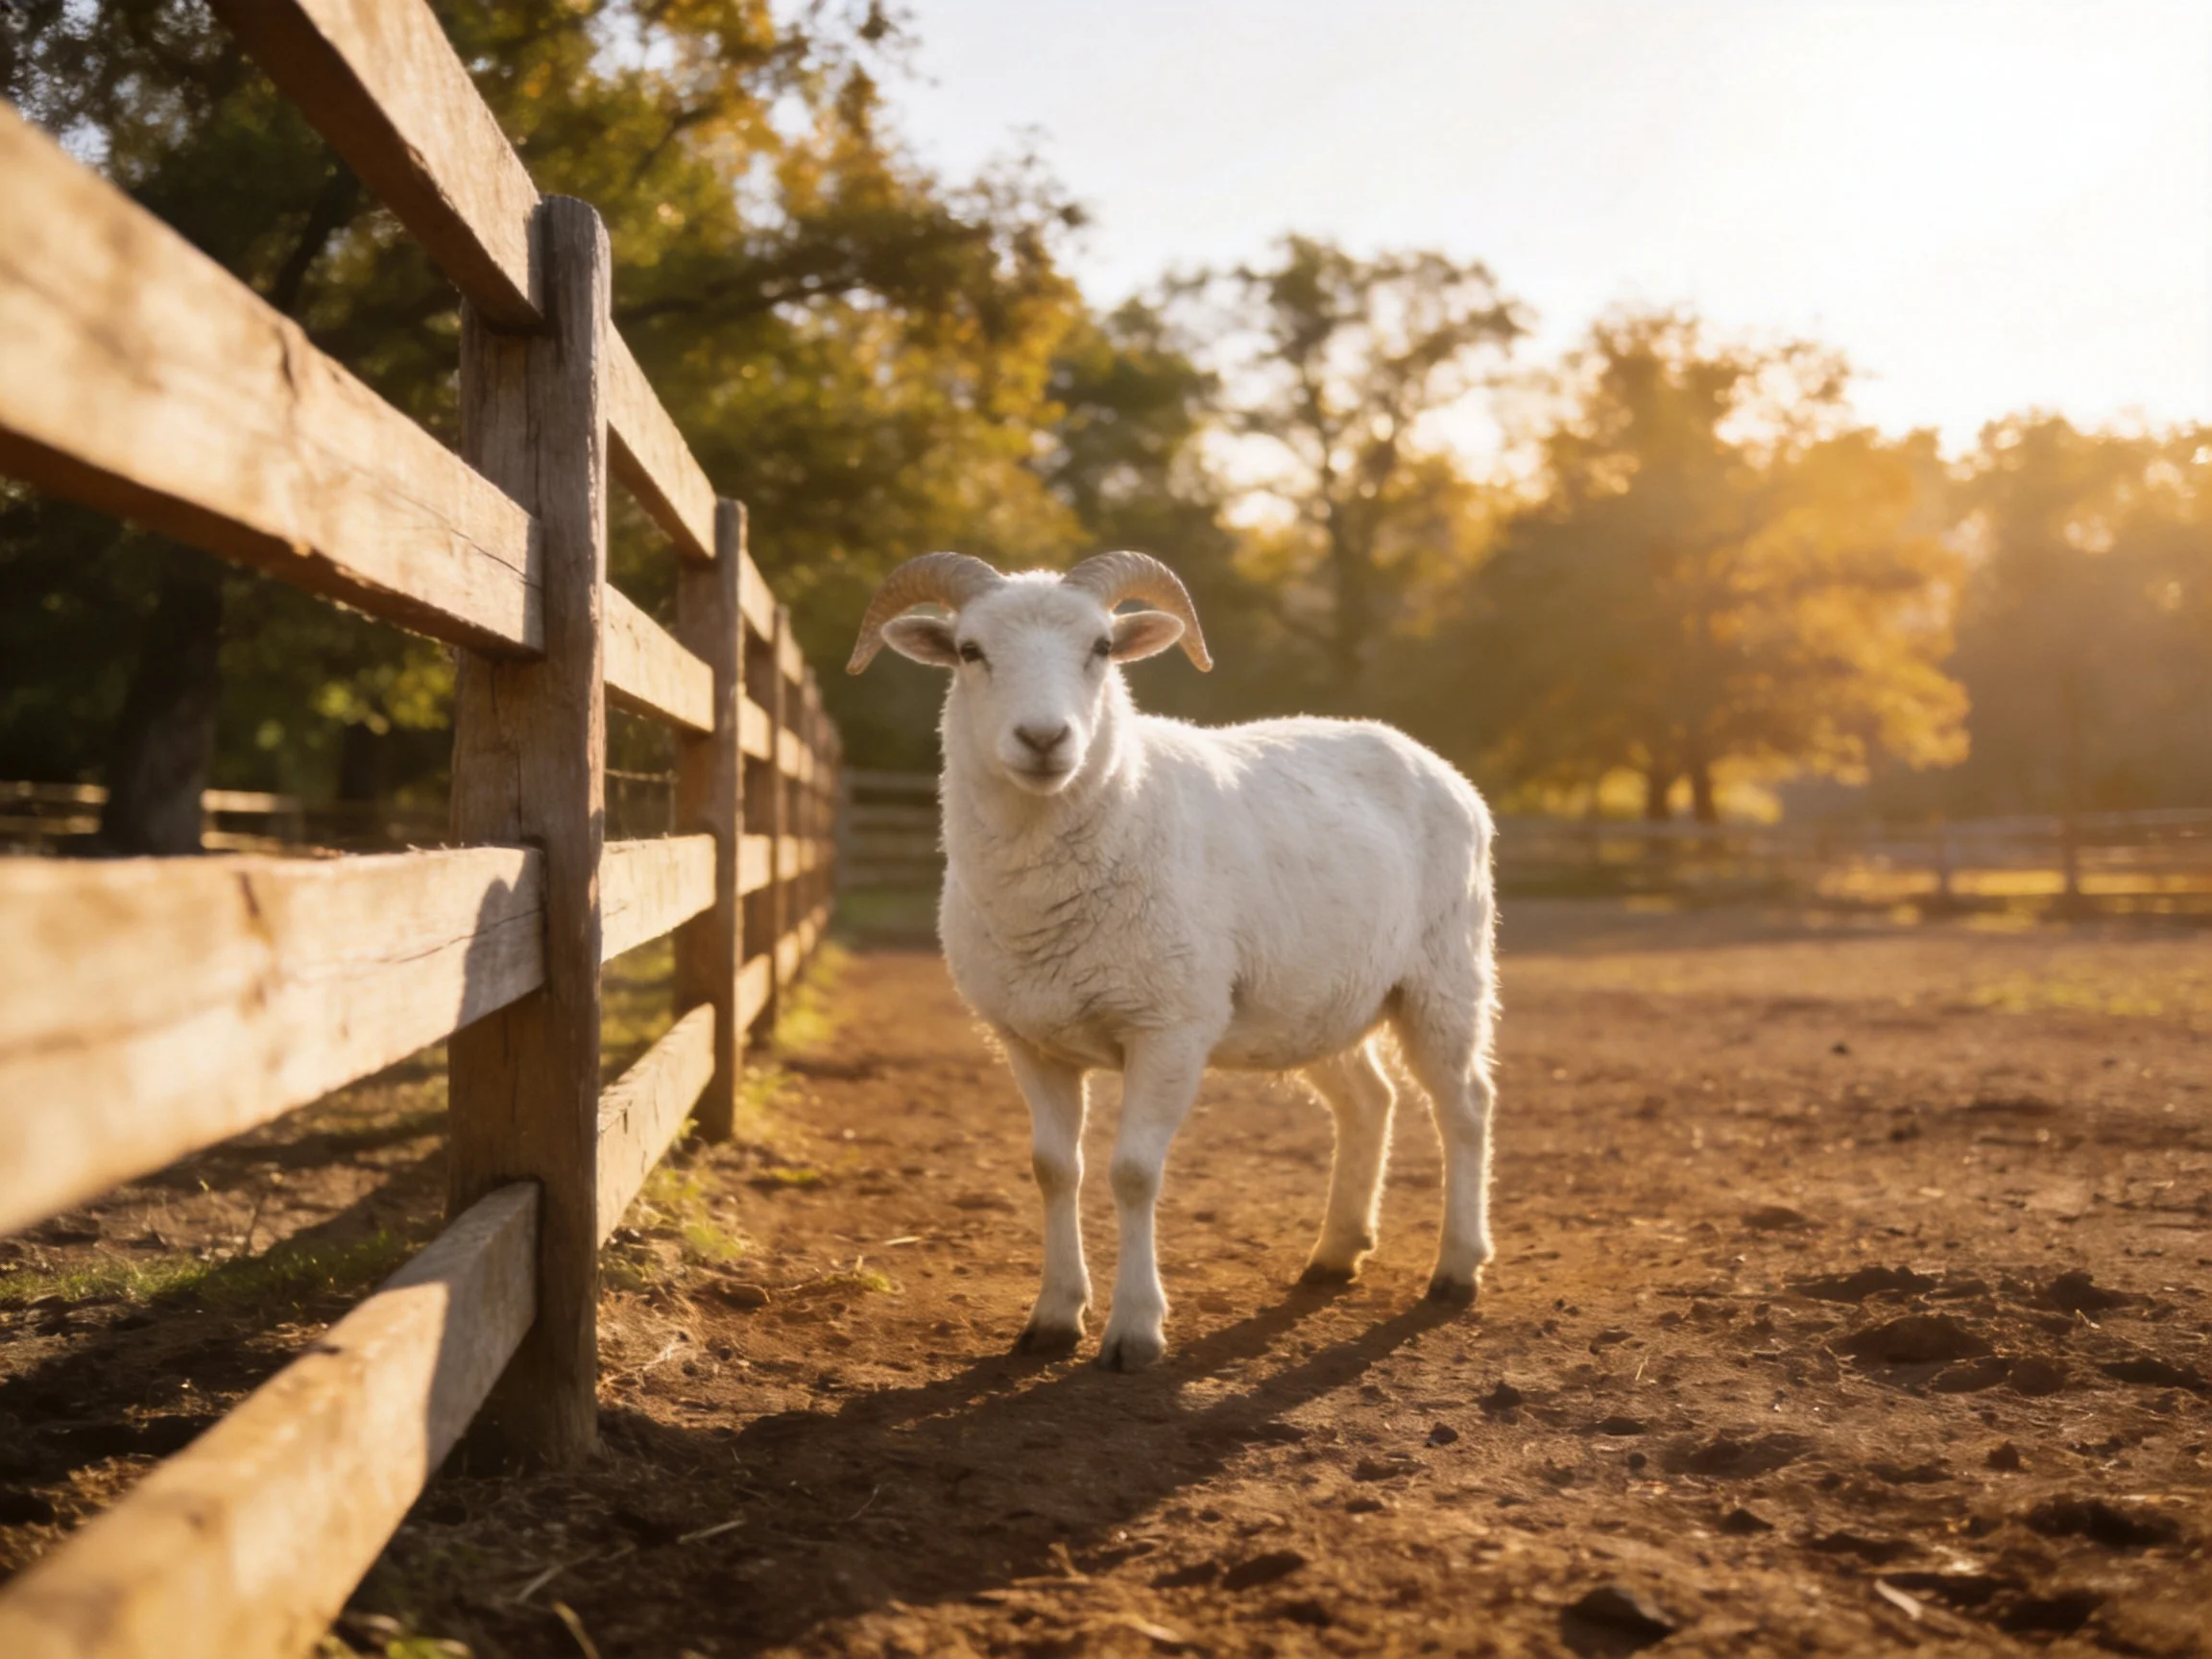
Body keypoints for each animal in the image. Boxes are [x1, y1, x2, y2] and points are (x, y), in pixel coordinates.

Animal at [847, 551, 1499, 1370]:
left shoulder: (1169, 1028)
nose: (1043, 737)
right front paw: (1053, 1318)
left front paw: (1135, 1330)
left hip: (1445, 974)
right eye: (970, 651)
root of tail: (1428, 759)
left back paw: (1458, 1269)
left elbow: (1132, 1173)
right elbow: (1053, 1169)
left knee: (1465, 1105)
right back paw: (1335, 1252)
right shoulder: (1028, 1037)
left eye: (1101, 647)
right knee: (1368, 1100)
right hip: (1316, 998)